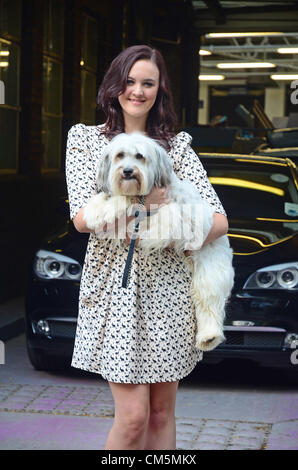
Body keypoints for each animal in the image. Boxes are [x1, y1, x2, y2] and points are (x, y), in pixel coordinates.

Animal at [82, 130, 234, 350]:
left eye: (139, 156)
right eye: (120, 155)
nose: (127, 171)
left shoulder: (177, 214)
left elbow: (137, 208)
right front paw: (96, 209)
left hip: (209, 271)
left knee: (209, 304)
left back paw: (209, 336)